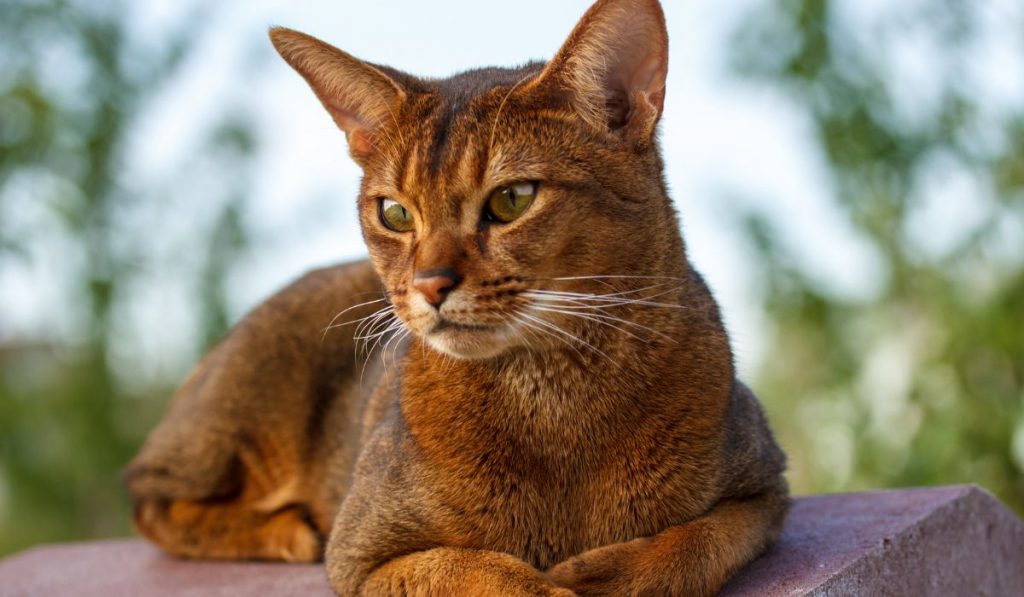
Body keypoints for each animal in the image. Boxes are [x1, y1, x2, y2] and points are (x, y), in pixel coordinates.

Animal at [121, 1, 790, 593]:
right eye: (394, 213)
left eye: (513, 199)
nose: (429, 284)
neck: (555, 398)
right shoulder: (362, 552)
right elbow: (474, 572)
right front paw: (550, 588)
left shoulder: (765, 487)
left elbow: (698, 542)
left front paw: (608, 575)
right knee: (146, 494)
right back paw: (287, 530)